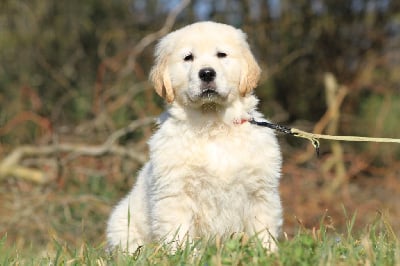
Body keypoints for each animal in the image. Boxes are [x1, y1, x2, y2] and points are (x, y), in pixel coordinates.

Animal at [106, 20, 282, 251]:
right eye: (188, 57)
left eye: (221, 55)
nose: (206, 73)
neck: (212, 124)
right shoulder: (175, 194)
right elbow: (179, 234)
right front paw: (184, 255)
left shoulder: (260, 191)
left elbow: (263, 230)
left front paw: (268, 253)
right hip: (122, 226)